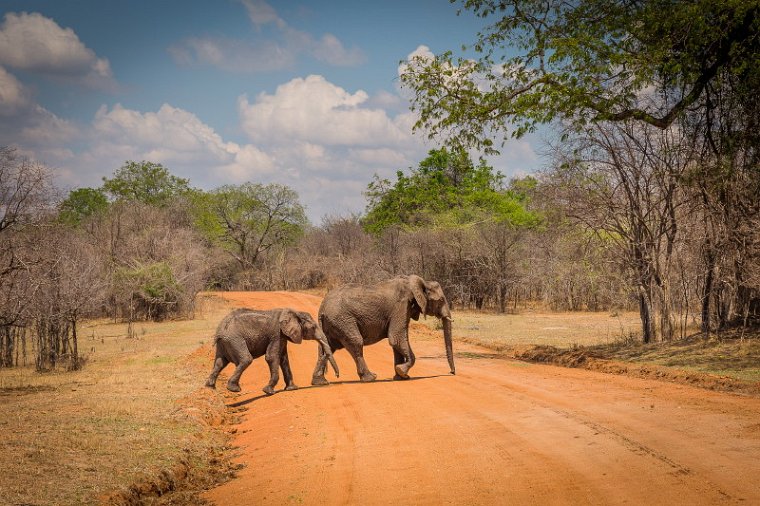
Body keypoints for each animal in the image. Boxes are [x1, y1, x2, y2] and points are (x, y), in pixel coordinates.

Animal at [206, 308, 340, 396]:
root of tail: (220, 330)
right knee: (246, 359)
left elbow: (283, 359)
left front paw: (292, 389)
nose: (337, 376)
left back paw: (210, 387)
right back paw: (234, 389)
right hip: (235, 339)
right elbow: (272, 357)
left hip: (225, 343)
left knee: (219, 363)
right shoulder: (277, 334)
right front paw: (269, 391)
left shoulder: (283, 336)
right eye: (313, 328)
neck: (294, 312)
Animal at [312, 274, 454, 386]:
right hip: (343, 321)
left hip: (333, 324)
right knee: (356, 343)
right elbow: (396, 338)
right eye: (441, 300)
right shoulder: (401, 306)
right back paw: (370, 378)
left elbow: (396, 343)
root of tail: (322, 309)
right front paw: (402, 371)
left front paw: (400, 377)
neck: (420, 282)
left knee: (327, 348)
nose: (452, 372)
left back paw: (320, 382)